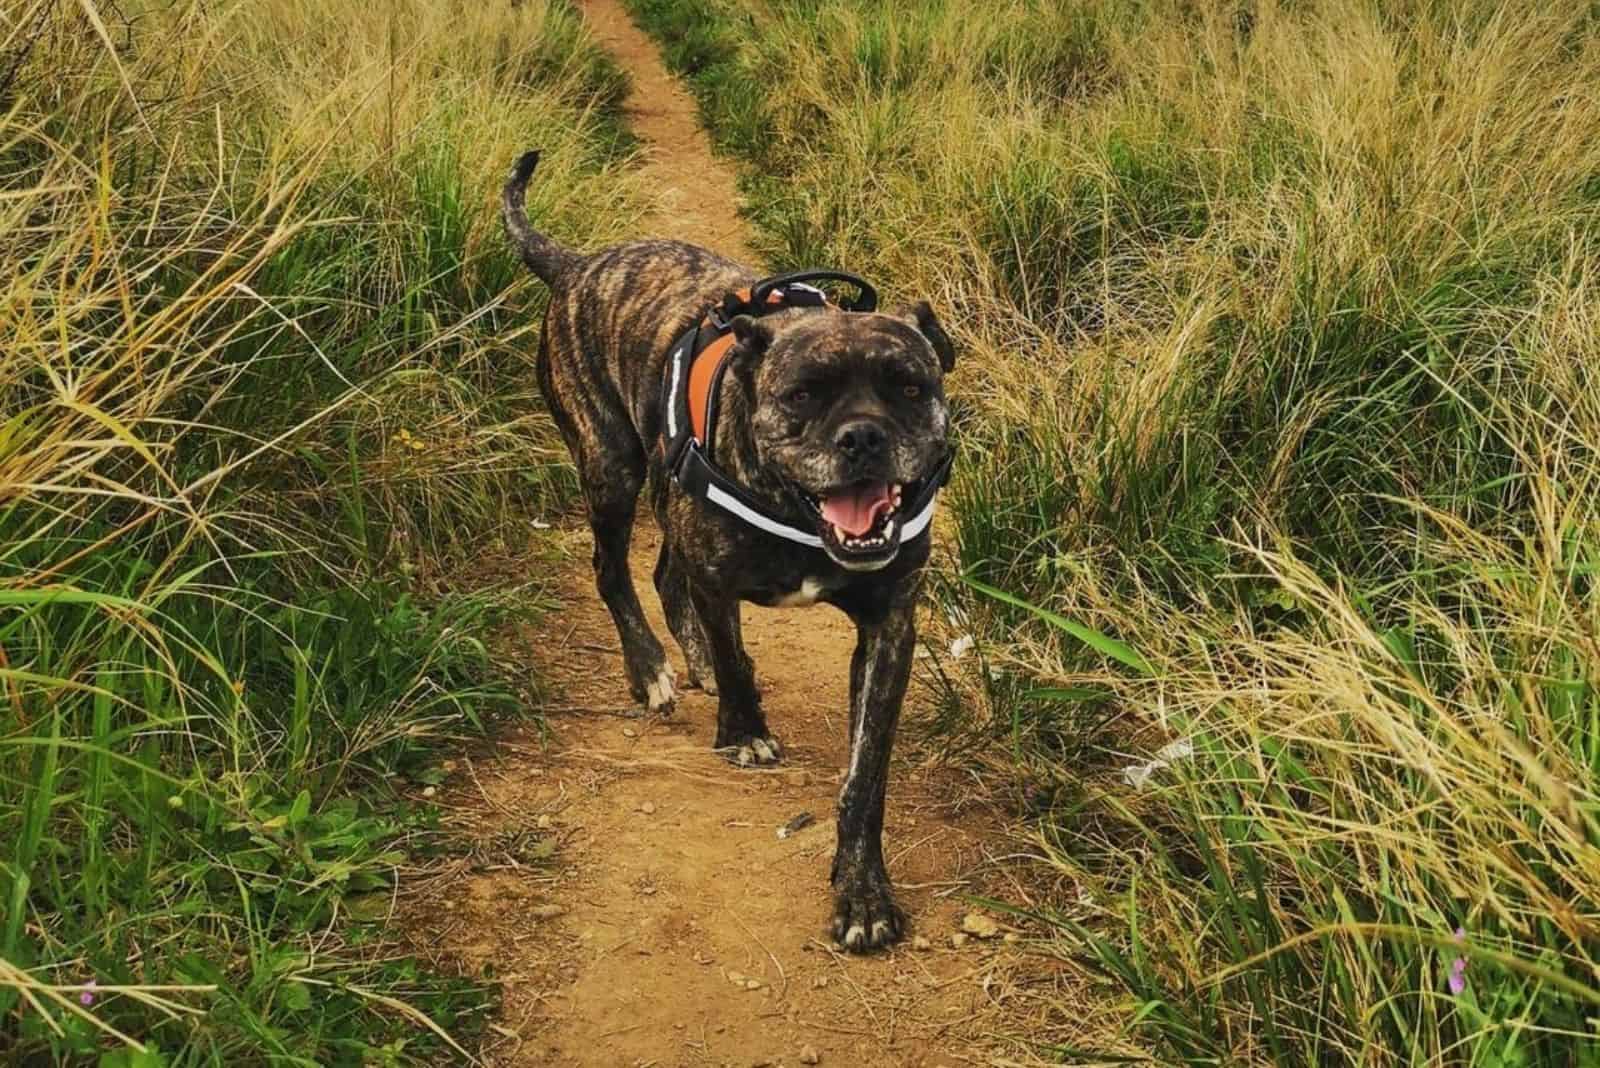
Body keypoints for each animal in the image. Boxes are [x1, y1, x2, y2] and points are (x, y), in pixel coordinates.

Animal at [502, 150, 947, 952]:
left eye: (907, 386)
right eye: (802, 394)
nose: (863, 437)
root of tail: (578, 265)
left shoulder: (890, 628)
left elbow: (865, 777)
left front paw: (863, 891)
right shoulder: (716, 576)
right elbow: (739, 657)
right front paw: (745, 732)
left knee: (659, 571)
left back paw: (689, 659)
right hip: (611, 467)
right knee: (614, 571)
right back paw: (651, 669)